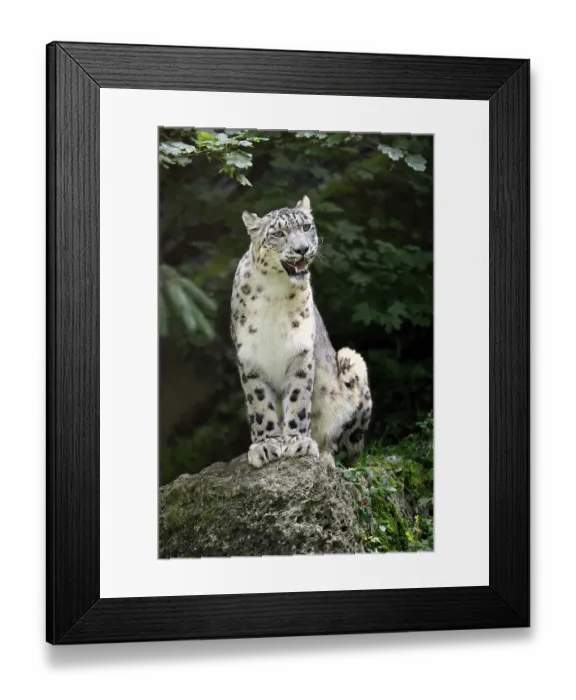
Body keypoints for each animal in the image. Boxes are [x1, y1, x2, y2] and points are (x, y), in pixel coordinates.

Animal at [230, 195, 372, 469]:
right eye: (279, 233)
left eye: (306, 227)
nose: (302, 249)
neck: (275, 291)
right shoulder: (249, 357)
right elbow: (259, 404)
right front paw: (265, 445)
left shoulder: (301, 352)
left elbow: (298, 398)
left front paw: (296, 441)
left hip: (352, 362)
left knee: (348, 450)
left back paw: (326, 455)